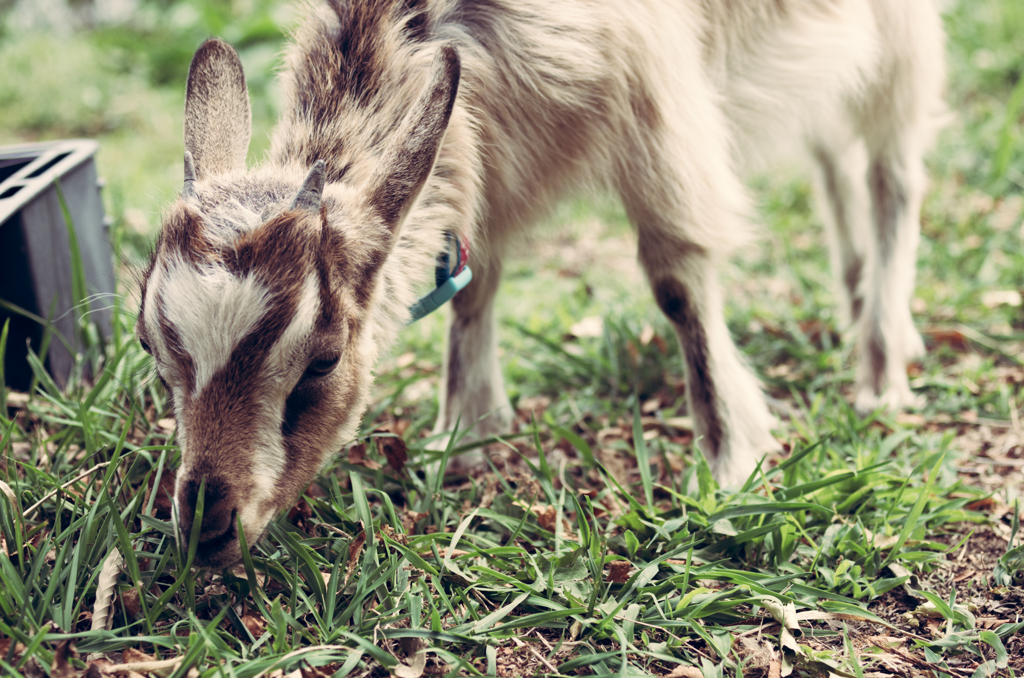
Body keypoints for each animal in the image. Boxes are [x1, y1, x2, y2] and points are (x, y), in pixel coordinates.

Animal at [134, 0, 942, 569]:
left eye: (324, 359)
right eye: (151, 346)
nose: (206, 526)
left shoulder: (654, 100)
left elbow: (678, 279)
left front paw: (729, 465)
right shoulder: (486, 141)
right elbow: (474, 280)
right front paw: (467, 436)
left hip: (897, 32)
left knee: (894, 168)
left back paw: (881, 372)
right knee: (832, 150)